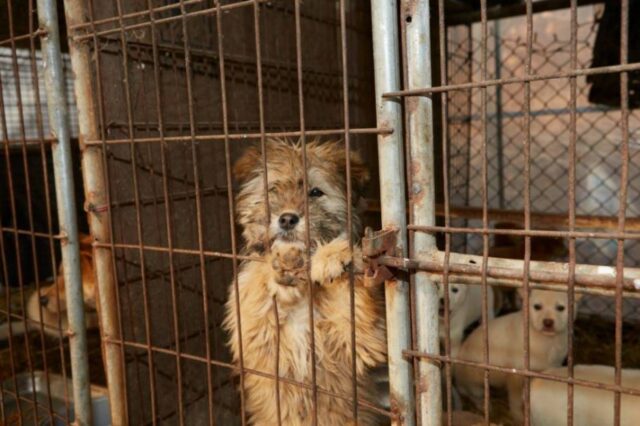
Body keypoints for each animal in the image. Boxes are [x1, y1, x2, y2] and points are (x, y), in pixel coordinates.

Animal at [222, 138, 388, 424]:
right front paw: (280, 266)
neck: (302, 296)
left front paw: (334, 256)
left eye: (315, 192)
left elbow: (352, 310)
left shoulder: (363, 340)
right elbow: (255, 285)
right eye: (273, 188)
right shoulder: (249, 332)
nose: (287, 219)